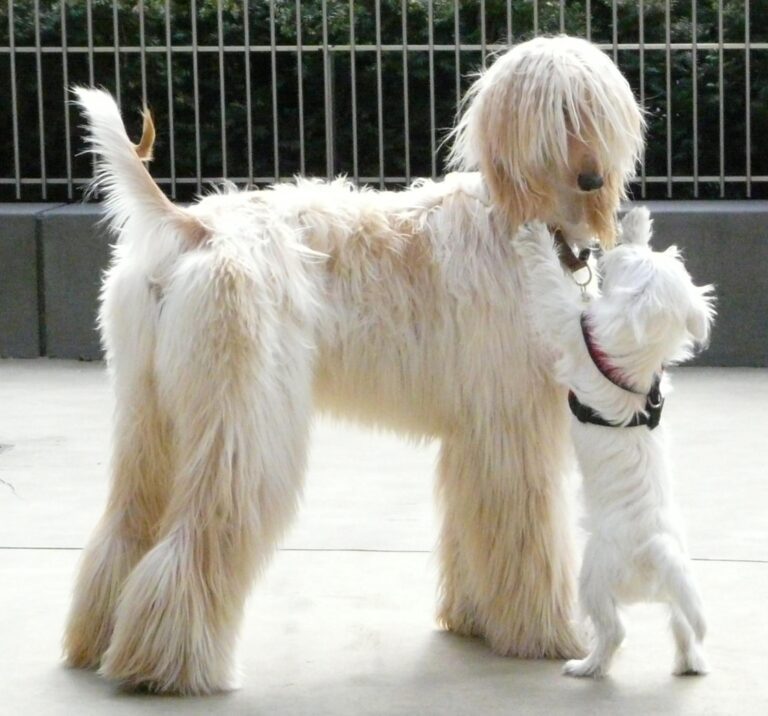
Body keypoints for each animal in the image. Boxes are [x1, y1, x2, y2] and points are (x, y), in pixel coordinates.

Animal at [516, 210, 712, 680]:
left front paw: (535, 238)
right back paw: (691, 663)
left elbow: (550, 286)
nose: (607, 251)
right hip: (674, 594)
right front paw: (639, 223)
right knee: (683, 626)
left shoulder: (571, 325)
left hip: (594, 577)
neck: (634, 364)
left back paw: (586, 666)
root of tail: (656, 550)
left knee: (614, 631)